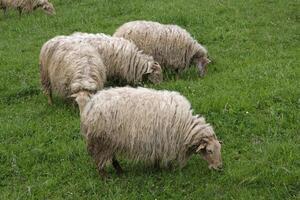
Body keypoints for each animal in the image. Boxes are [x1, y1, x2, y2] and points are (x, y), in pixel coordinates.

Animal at [72, 86, 223, 177]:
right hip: (101, 141)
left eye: (220, 149)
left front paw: (156, 167)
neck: (185, 126)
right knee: (100, 161)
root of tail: (90, 105)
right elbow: (164, 159)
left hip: (110, 141)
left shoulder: (157, 141)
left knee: (112, 158)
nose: (219, 167)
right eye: (209, 151)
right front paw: (166, 169)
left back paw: (120, 172)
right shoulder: (165, 142)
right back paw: (105, 177)